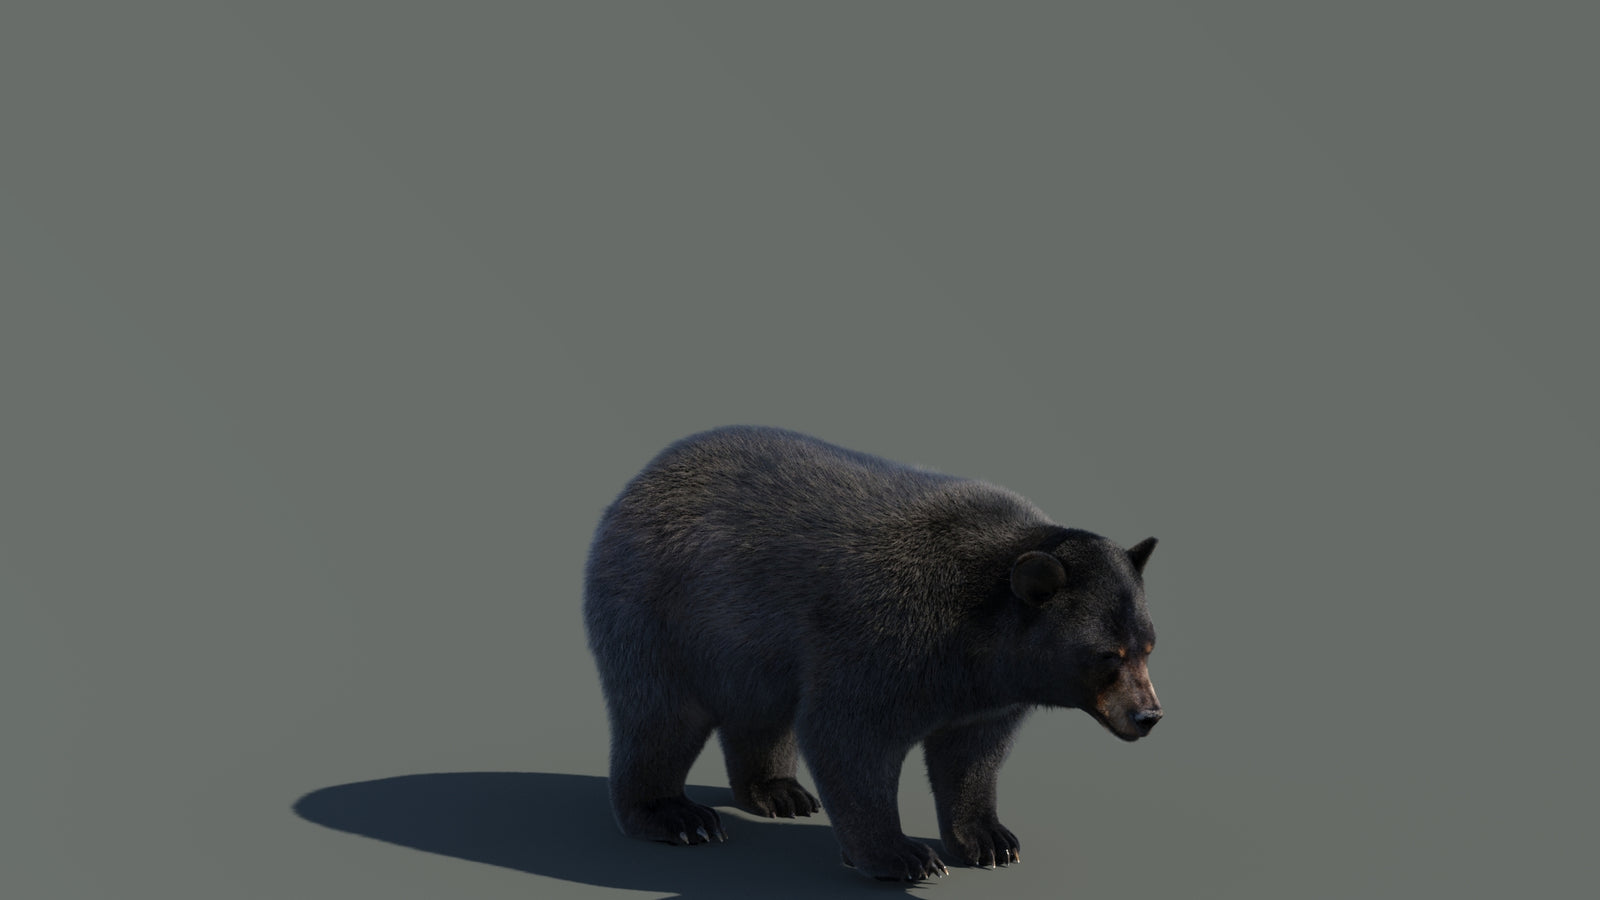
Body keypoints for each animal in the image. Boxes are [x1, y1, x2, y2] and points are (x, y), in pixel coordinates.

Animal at [582, 425, 1162, 882]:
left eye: (1149, 645)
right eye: (1108, 654)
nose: (1149, 715)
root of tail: (640, 480)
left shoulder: (987, 694)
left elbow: (972, 753)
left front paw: (991, 839)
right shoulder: (886, 636)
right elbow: (849, 735)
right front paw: (903, 855)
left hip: (745, 647)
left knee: (760, 712)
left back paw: (779, 792)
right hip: (660, 614)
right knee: (660, 716)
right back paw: (677, 815)